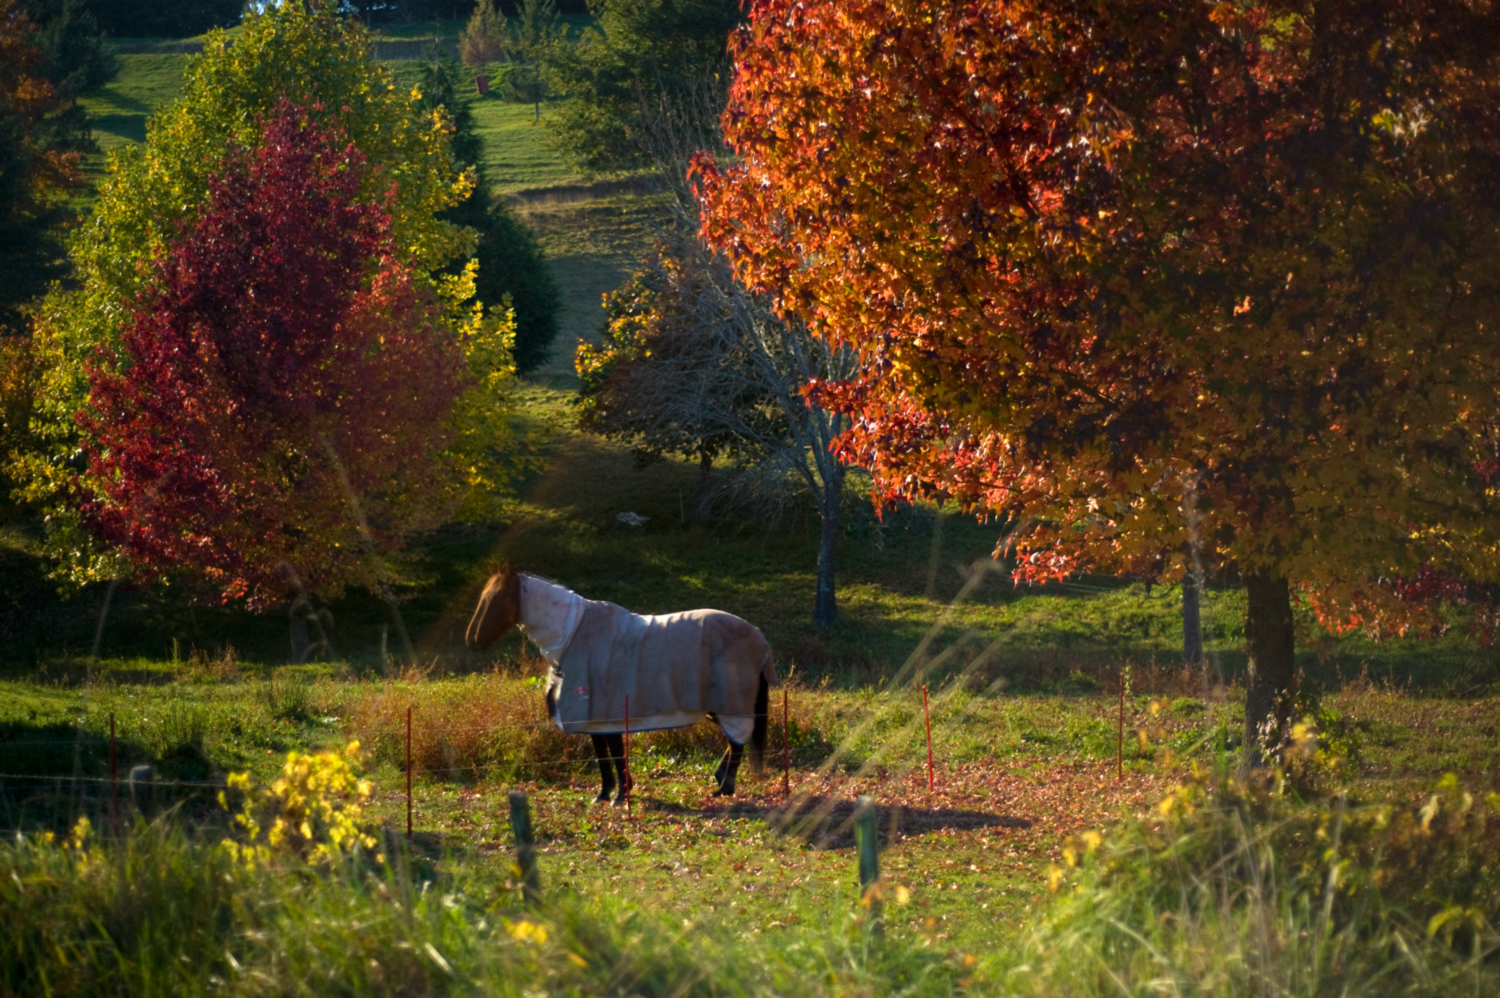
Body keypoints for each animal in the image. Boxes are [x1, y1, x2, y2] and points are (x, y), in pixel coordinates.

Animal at [465, 564, 774, 804]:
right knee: (736, 741)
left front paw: (620, 795)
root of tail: (758, 635)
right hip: (718, 706)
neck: (572, 634)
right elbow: (603, 754)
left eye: (494, 600)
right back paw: (720, 782)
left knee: (738, 741)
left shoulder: (608, 713)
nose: (472, 640)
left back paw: (724, 788)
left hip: (730, 704)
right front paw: (605, 794)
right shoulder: (593, 717)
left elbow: (613, 753)